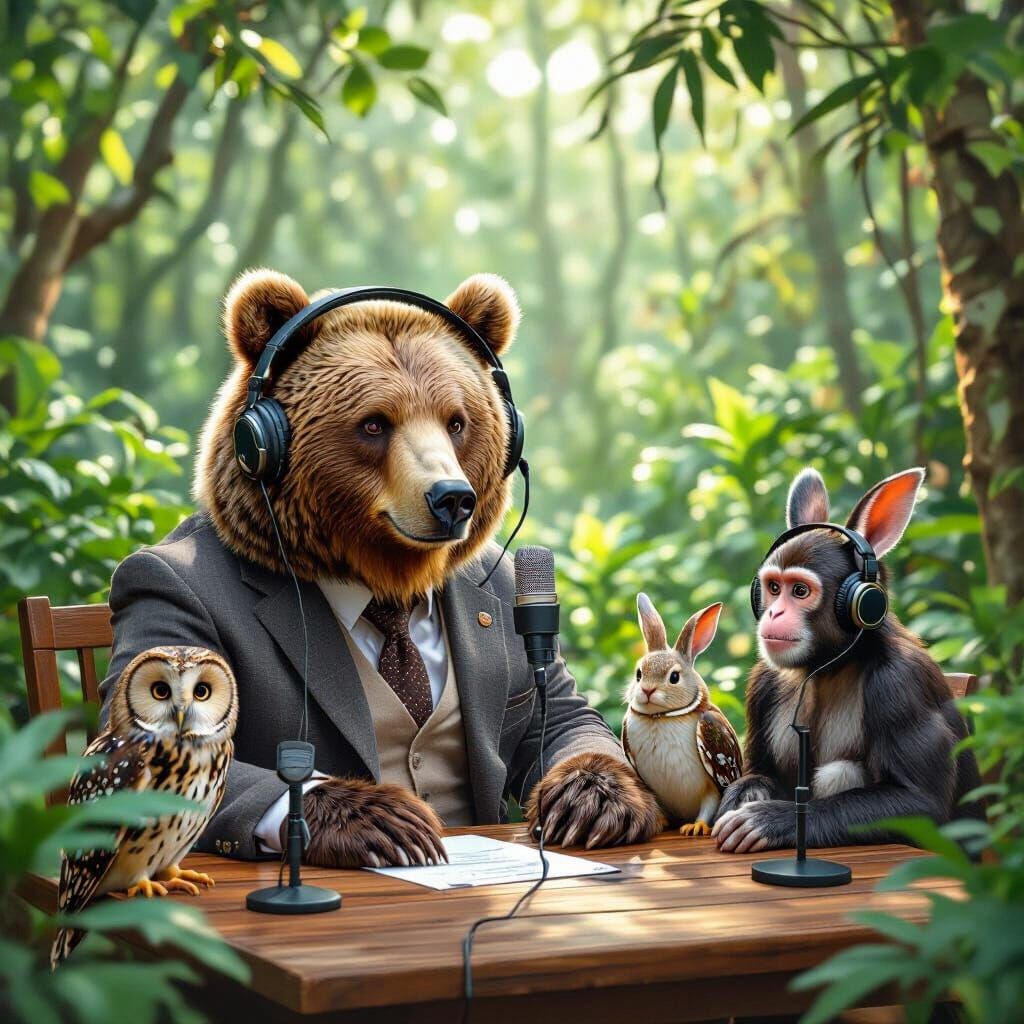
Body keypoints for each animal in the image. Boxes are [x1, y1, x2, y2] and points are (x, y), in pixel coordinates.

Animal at [98, 269, 662, 867]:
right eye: (374, 423)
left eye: (456, 421)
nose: (452, 497)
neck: (382, 576)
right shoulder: (167, 599)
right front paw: (383, 818)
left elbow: (567, 716)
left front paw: (588, 799)